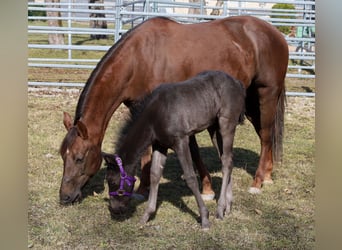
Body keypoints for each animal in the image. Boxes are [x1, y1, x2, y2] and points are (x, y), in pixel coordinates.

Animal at [59, 14, 288, 204]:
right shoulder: (140, 109)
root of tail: (276, 33)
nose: (65, 197)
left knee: (266, 134)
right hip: (250, 103)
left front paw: (206, 190)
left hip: (266, 94)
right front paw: (142, 189)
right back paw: (268, 175)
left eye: (79, 158)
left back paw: (257, 182)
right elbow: (147, 153)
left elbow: (192, 151)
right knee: (265, 135)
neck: (140, 58)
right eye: (62, 155)